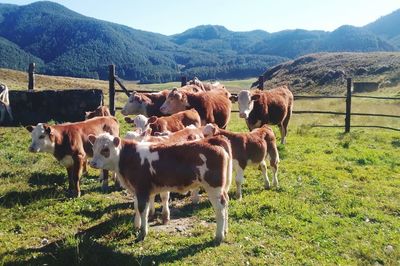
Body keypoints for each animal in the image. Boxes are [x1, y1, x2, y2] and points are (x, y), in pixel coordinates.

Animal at [87, 133, 231, 243]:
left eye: (105, 149)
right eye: (94, 148)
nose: (92, 163)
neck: (127, 157)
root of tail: (212, 140)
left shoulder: (142, 189)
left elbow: (142, 210)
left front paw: (142, 233)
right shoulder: (136, 190)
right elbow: (136, 207)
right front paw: (136, 226)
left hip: (214, 187)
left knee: (220, 208)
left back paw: (219, 236)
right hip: (222, 188)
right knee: (226, 202)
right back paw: (225, 230)